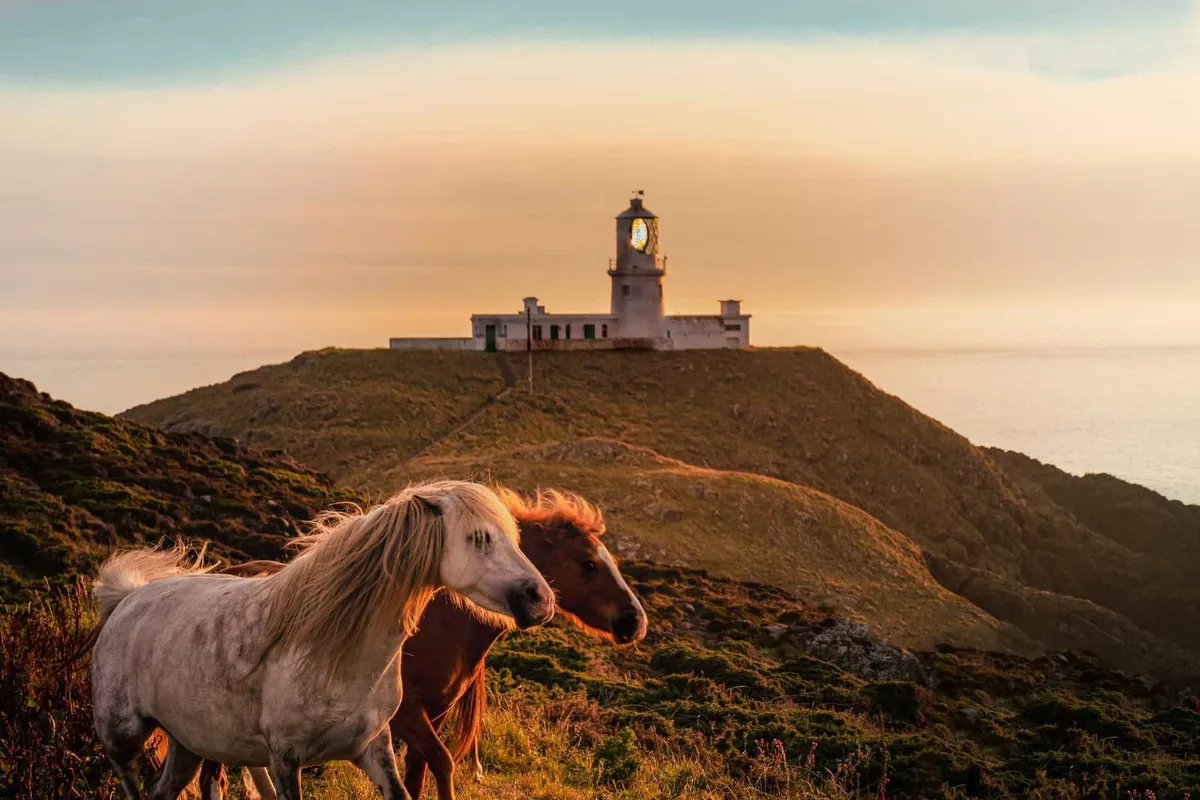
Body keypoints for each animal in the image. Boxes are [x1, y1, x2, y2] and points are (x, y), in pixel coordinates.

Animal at [83, 480, 556, 800]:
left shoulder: (374, 748)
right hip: (122, 739)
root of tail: (128, 598)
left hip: (188, 744)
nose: (541, 599)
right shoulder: (285, 760)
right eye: (478, 538)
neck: (335, 653)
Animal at [195, 488, 648, 800]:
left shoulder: (435, 713)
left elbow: (418, 774)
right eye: (588, 564)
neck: (440, 625)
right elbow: (443, 763)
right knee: (212, 777)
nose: (635, 621)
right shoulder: (408, 714)